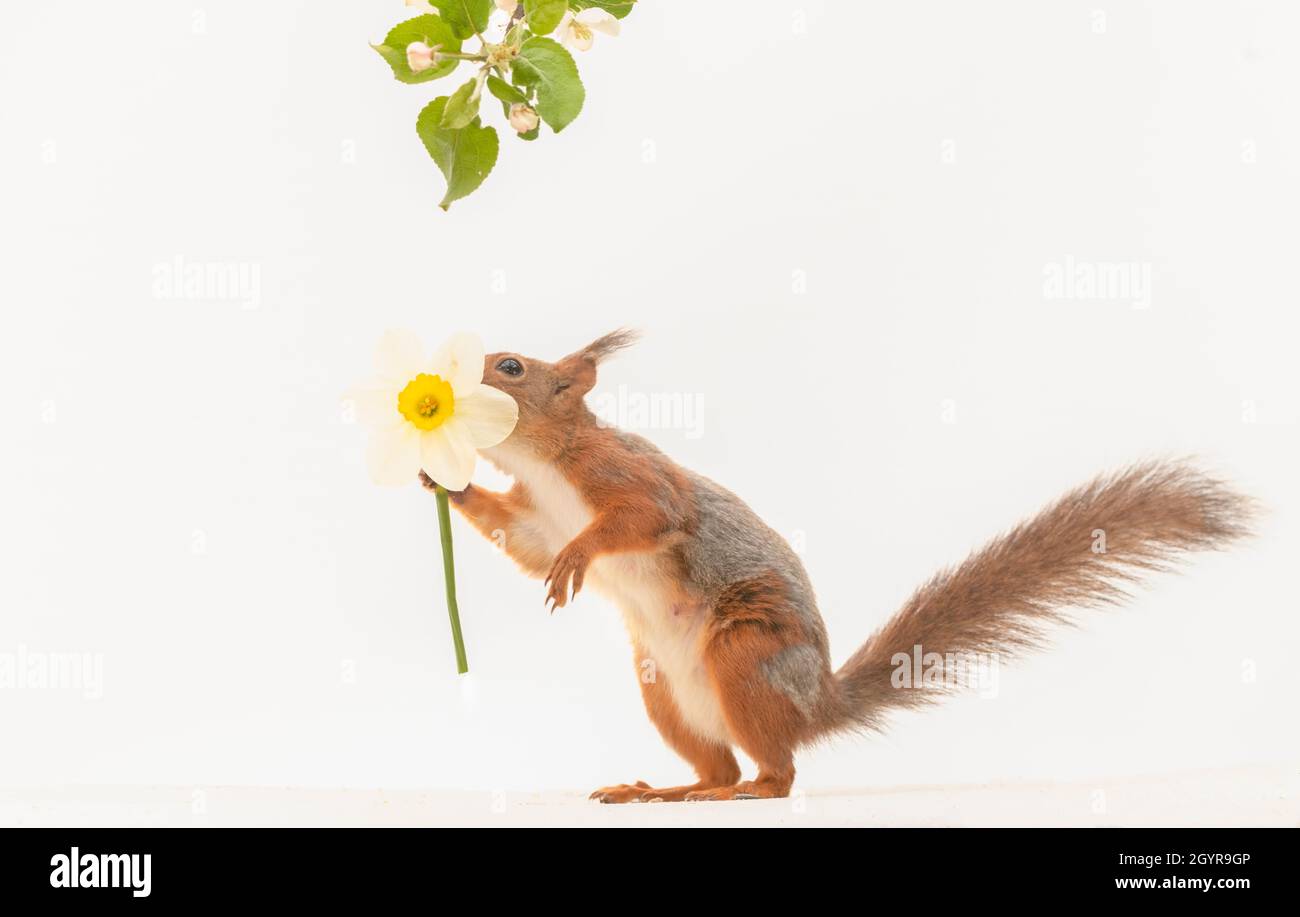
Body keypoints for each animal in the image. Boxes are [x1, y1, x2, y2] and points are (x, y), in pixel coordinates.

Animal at [418, 329, 1255, 803]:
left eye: (511, 366)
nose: (446, 385)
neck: (547, 464)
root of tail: (812, 704)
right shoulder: (535, 510)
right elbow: (520, 540)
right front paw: (444, 481)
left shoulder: (629, 476)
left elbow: (644, 519)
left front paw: (579, 556)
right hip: (666, 694)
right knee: (721, 765)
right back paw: (661, 789)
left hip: (745, 655)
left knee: (776, 777)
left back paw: (738, 793)